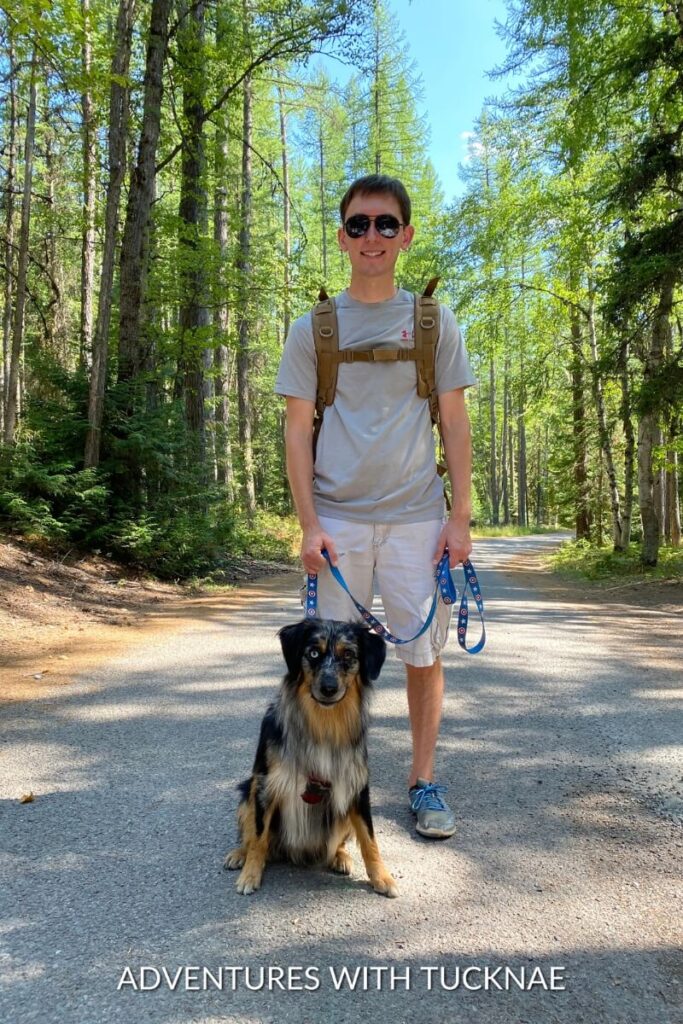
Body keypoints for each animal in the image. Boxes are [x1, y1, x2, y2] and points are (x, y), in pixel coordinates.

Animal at [224, 614, 397, 897]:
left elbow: (369, 837)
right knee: (251, 834)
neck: (322, 723)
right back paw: (240, 854)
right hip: (247, 793)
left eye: (349, 655)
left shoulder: (356, 786)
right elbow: (259, 835)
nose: (328, 688)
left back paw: (341, 856)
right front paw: (250, 874)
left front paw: (382, 877)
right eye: (313, 653)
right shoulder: (265, 784)